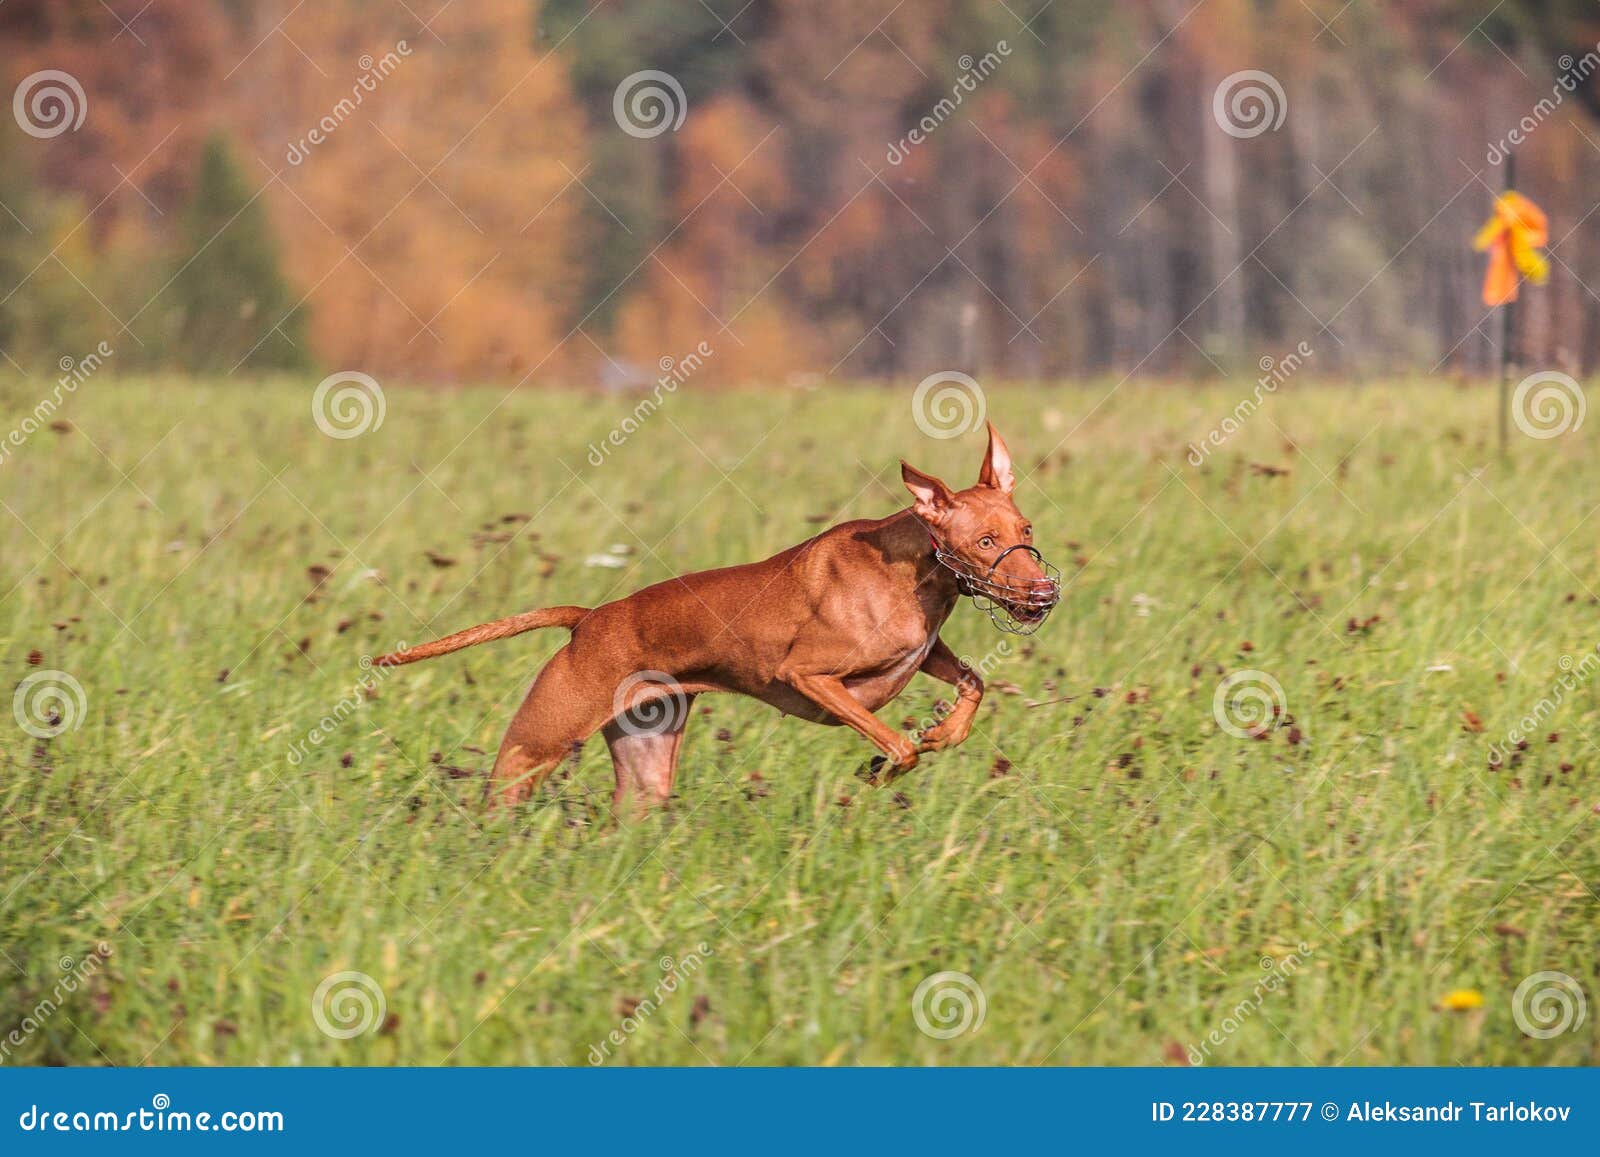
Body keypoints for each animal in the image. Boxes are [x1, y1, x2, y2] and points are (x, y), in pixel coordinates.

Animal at [368, 422, 1056, 809]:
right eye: (986, 542)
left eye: (1025, 529)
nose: (1044, 593)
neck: (917, 567)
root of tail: (590, 618)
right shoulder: (812, 677)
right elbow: (897, 745)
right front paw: (883, 770)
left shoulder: (925, 651)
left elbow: (973, 683)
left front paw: (943, 734)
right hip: (536, 745)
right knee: (498, 801)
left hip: (646, 767)